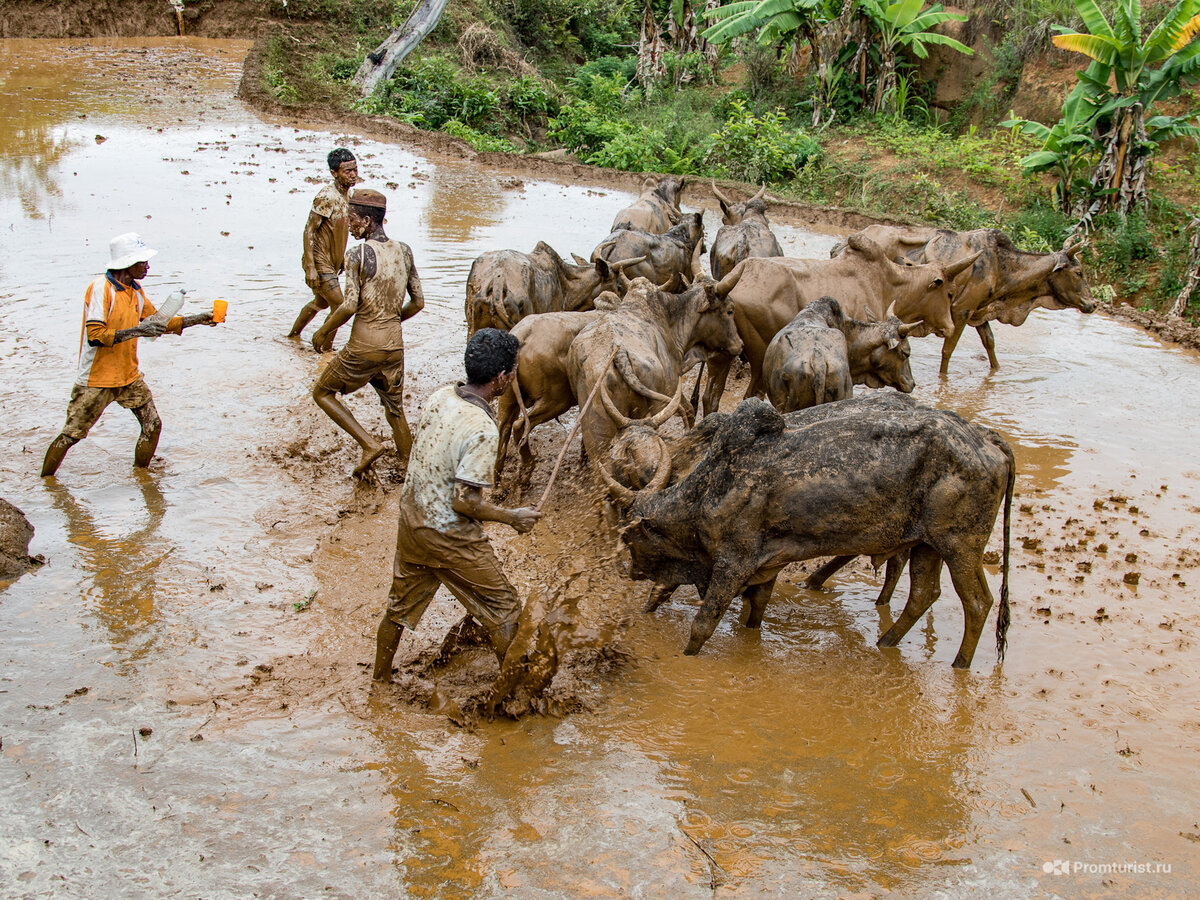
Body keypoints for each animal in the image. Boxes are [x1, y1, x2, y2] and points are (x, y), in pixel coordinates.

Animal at [600, 398, 1012, 667]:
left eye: (630, 536)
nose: (629, 570)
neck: (708, 488)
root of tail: (987, 439)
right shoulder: (765, 567)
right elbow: (754, 613)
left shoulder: (732, 564)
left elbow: (702, 624)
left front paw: (685, 660)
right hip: (926, 545)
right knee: (923, 594)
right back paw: (885, 641)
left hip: (960, 546)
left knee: (978, 603)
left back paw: (959, 664)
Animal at [835, 229, 1099, 376]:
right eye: (1079, 272)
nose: (1093, 303)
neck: (1001, 266)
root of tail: (842, 244)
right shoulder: (961, 312)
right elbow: (948, 351)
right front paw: (943, 379)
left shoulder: (978, 311)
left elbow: (990, 343)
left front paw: (997, 371)